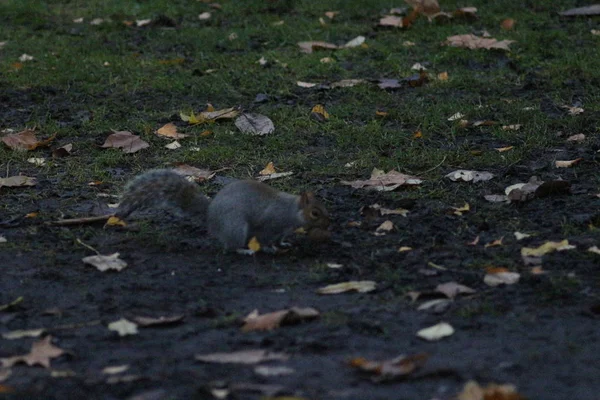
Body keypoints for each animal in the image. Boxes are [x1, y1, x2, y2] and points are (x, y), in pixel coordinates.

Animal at [115, 170, 330, 252]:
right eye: (315, 213)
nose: (329, 224)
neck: (292, 210)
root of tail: (210, 215)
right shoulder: (271, 223)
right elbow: (266, 239)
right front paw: (271, 249)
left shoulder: (282, 230)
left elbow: (280, 239)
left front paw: (284, 244)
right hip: (236, 226)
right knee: (231, 246)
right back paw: (245, 251)